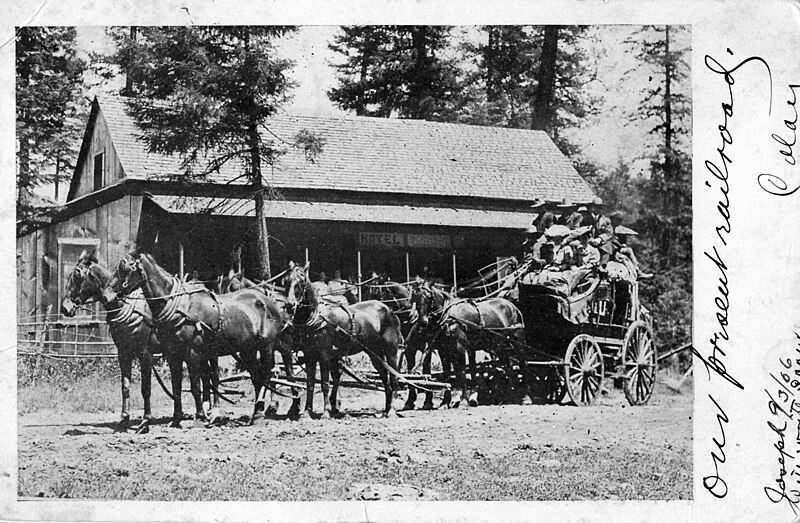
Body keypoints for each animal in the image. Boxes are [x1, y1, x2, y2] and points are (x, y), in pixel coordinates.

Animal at [104, 254, 282, 430]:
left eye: (126, 269)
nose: (107, 296)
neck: (182, 308)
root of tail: (267, 301)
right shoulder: (171, 354)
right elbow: (176, 387)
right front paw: (176, 419)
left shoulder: (189, 353)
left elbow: (195, 386)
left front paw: (199, 417)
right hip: (247, 350)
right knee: (256, 376)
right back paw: (256, 414)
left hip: (266, 347)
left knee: (266, 374)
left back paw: (258, 412)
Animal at [282, 262, 406, 422]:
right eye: (285, 282)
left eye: (301, 282)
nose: (290, 305)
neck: (316, 317)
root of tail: (389, 310)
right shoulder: (310, 355)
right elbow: (310, 383)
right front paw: (306, 412)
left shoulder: (324, 355)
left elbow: (324, 384)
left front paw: (326, 412)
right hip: (374, 353)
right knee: (385, 379)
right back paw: (385, 410)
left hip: (391, 351)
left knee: (393, 378)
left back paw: (391, 410)